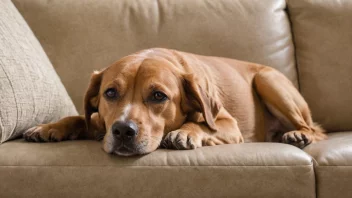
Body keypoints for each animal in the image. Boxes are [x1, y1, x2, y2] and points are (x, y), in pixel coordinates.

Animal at [24, 48, 328, 156]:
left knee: (315, 130)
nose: (122, 131)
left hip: (268, 80)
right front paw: (49, 127)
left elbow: (202, 125)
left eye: (158, 96)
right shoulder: (100, 120)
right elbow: (79, 117)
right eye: (110, 93)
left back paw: (298, 134)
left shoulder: (228, 125)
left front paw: (185, 132)